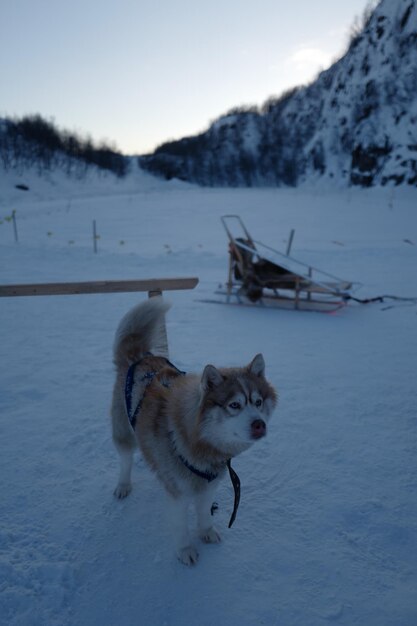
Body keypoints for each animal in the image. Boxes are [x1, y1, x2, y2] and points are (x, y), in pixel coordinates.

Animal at [111, 294, 276, 564]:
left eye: (258, 402)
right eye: (234, 405)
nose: (259, 425)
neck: (199, 442)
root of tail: (140, 357)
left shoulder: (209, 485)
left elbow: (205, 514)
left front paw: (206, 532)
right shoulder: (178, 493)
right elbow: (180, 525)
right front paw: (185, 550)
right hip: (123, 431)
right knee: (125, 460)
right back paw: (123, 485)